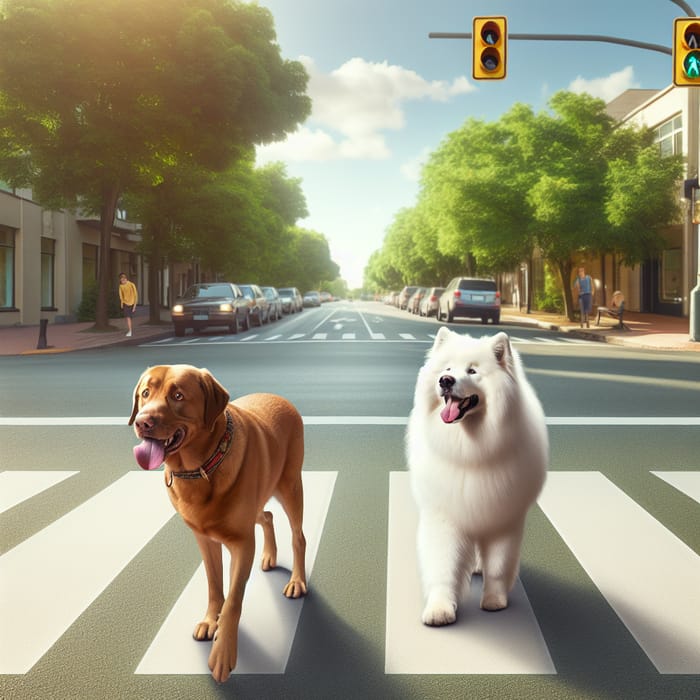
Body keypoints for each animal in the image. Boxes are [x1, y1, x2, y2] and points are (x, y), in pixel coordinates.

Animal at [130, 366, 304, 684]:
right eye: (145, 393)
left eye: (178, 395)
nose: (142, 421)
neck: (200, 467)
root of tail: (280, 397)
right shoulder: (205, 540)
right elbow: (214, 584)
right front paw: (212, 620)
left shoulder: (242, 543)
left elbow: (233, 600)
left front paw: (223, 655)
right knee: (267, 516)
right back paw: (269, 556)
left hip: (290, 487)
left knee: (299, 536)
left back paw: (297, 581)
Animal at [404, 326, 548, 628]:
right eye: (447, 369)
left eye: (472, 371)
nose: (445, 381)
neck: (469, 450)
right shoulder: (444, 515)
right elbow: (443, 565)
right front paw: (439, 610)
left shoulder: (503, 519)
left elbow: (498, 566)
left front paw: (494, 600)